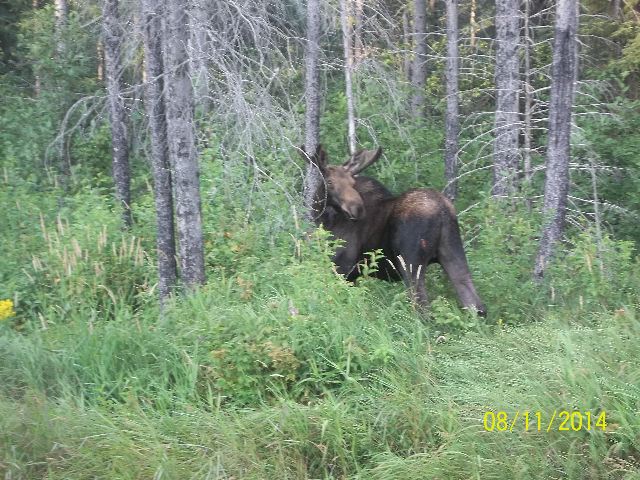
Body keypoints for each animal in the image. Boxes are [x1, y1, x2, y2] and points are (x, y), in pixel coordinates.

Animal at [301, 144, 486, 316]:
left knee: (423, 308)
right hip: (453, 250)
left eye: (352, 183)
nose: (357, 209)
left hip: (410, 262)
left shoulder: (343, 267)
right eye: (330, 183)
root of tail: (443, 211)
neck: (324, 220)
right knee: (476, 304)